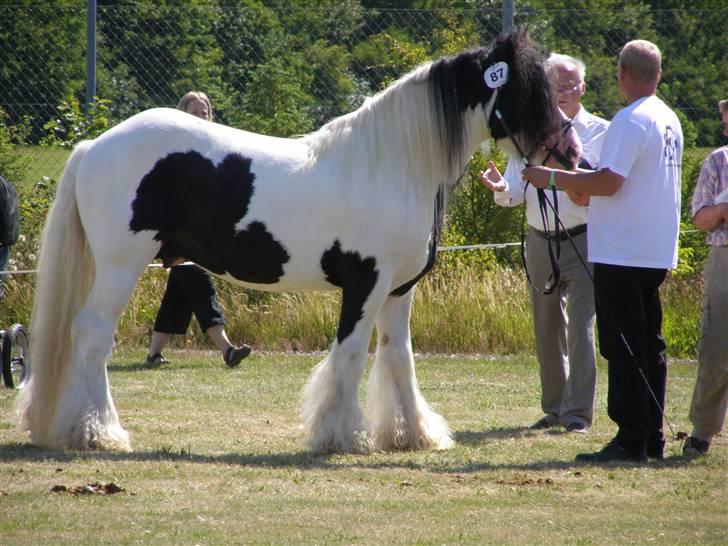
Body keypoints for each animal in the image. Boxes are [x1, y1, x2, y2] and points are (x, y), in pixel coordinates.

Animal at [17, 28, 564, 450]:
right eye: (527, 89)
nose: (564, 148)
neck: (391, 165)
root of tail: (93, 145)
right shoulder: (365, 284)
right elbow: (349, 354)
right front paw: (342, 437)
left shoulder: (398, 290)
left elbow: (398, 357)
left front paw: (414, 435)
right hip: (120, 264)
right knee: (92, 335)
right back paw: (99, 433)